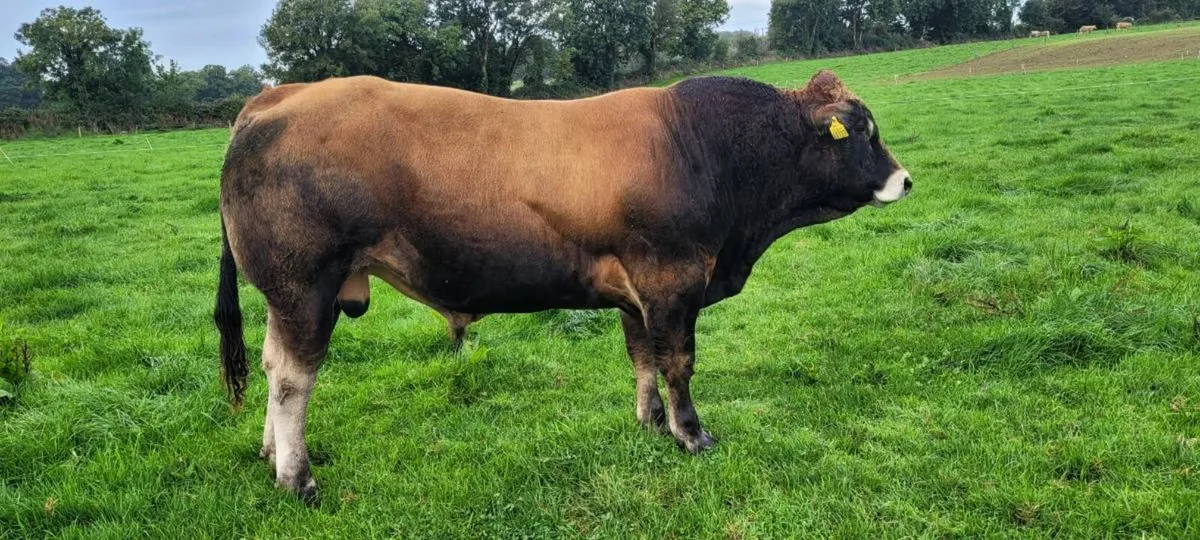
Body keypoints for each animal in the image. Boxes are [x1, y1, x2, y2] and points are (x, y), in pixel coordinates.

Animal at [214, 70, 912, 502]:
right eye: (863, 131)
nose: (905, 180)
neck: (703, 148)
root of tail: (276, 98)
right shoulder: (673, 281)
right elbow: (678, 364)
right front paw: (691, 435)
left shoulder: (636, 293)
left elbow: (642, 359)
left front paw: (650, 424)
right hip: (305, 285)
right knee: (291, 379)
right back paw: (297, 478)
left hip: (285, 295)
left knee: (273, 363)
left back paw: (269, 455)